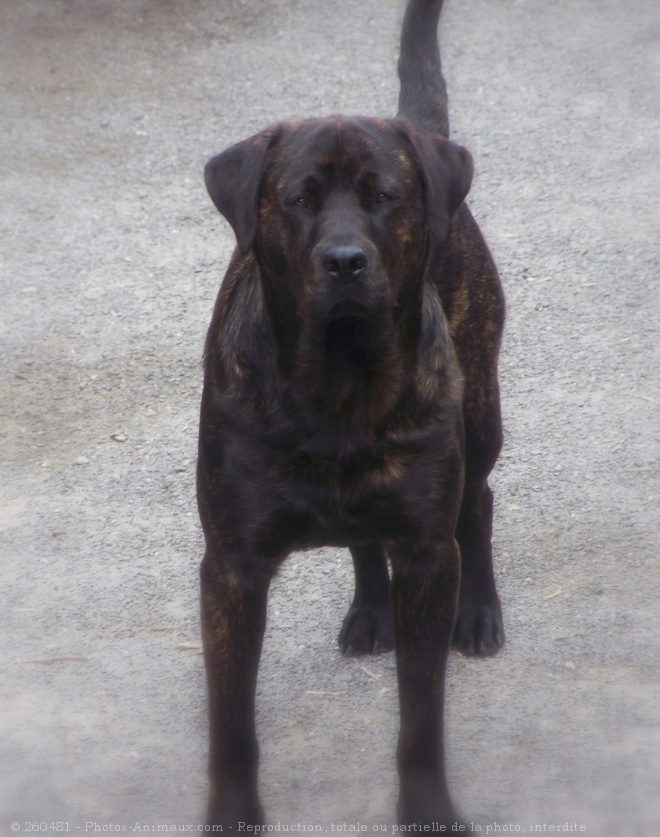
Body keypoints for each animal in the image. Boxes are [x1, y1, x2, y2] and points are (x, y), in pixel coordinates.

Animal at [196, 0, 506, 824]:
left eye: (384, 196)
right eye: (299, 197)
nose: (344, 261)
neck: (338, 386)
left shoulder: (428, 556)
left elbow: (421, 710)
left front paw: (428, 808)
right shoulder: (231, 568)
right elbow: (231, 721)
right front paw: (233, 815)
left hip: (480, 414)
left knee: (479, 500)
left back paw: (481, 611)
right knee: (366, 540)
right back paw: (370, 612)